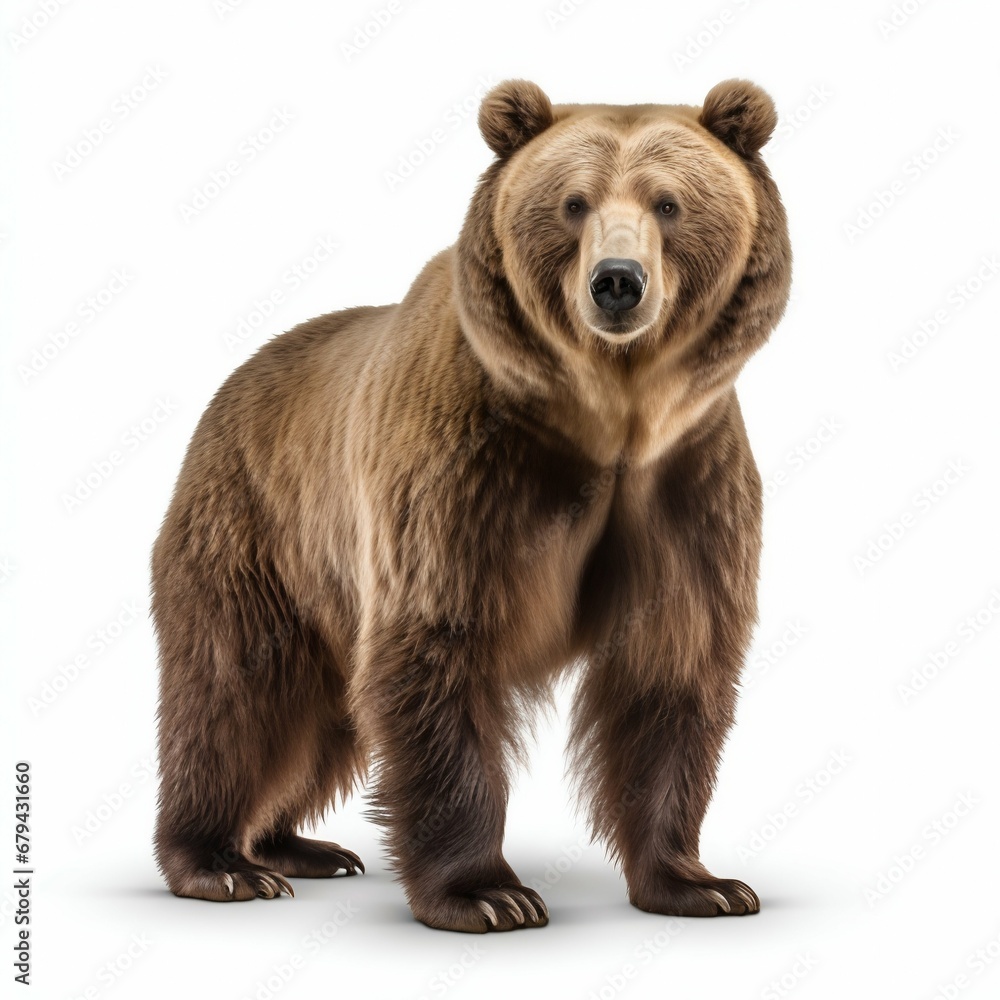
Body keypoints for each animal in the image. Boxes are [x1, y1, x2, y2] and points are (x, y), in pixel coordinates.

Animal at [151, 78, 791, 932]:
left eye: (669, 203)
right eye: (574, 203)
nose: (617, 281)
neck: (610, 419)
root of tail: (231, 384)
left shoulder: (686, 483)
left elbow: (671, 663)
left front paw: (701, 884)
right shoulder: (465, 477)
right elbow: (442, 645)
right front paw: (487, 892)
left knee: (323, 717)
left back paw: (299, 846)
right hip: (255, 528)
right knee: (236, 691)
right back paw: (221, 863)